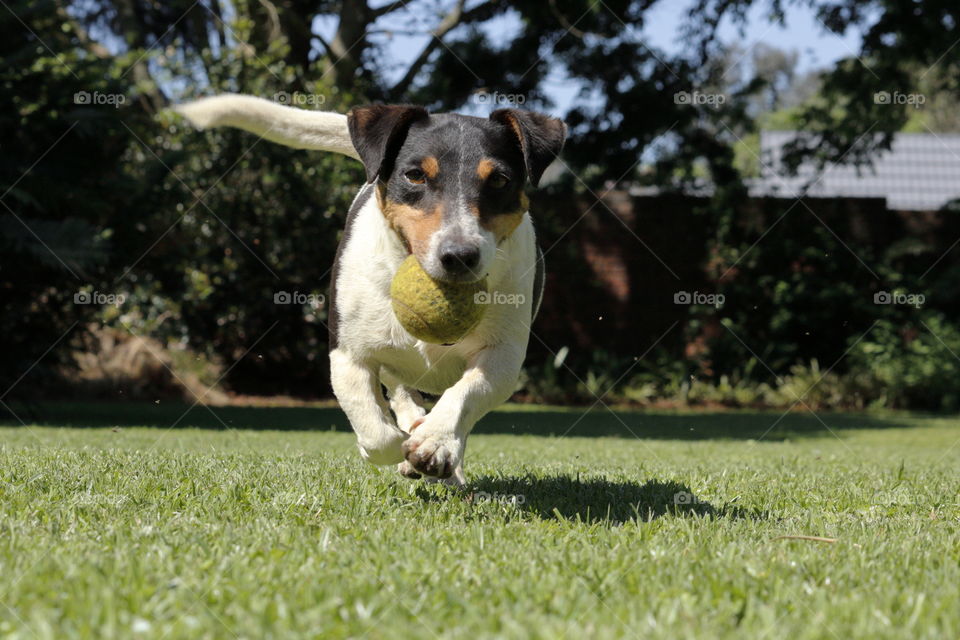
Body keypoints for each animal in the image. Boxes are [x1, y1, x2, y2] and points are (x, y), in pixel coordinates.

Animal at [177, 94, 568, 484]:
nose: (459, 255)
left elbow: (467, 393)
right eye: (415, 175)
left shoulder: (504, 356)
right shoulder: (348, 354)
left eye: (499, 180)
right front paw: (400, 447)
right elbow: (376, 428)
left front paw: (435, 442)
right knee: (400, 393)